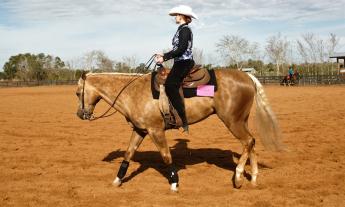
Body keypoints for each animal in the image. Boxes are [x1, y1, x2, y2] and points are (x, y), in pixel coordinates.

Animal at [75, 68, 282, 192]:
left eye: (78, 93)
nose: (80, 114)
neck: (132, 92)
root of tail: (247, 76)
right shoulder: (140, 130)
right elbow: (128, 154)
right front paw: (117, 180)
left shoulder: (156, 131)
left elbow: (166, 156)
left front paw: (174, 183)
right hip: (241, 120)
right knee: (252, 143)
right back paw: (253, 178)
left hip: (233, 121)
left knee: (247, 142)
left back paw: (238, 177)